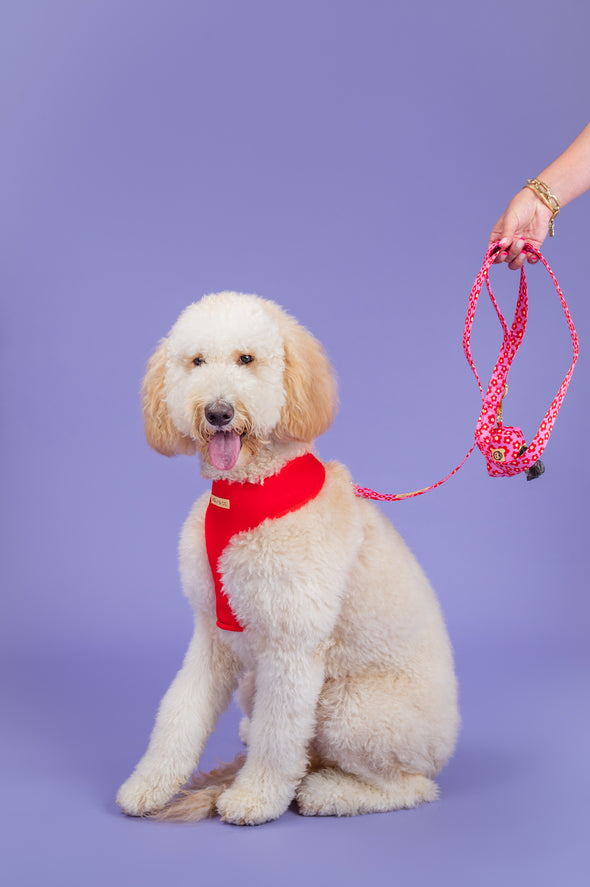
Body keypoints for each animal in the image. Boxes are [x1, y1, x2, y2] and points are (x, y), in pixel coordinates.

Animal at [114, 292, 458, 824]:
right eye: (196, 362)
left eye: (246, 359)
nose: (218, 412)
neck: (250, 493)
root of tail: (444, 746)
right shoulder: (211, 634)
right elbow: (180, 712)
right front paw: (149, 784)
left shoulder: (292, 646)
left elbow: (279, 736)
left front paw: (255, 797)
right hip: (257, 683)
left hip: (351, 709)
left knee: (410, 786)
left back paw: (328, 792)